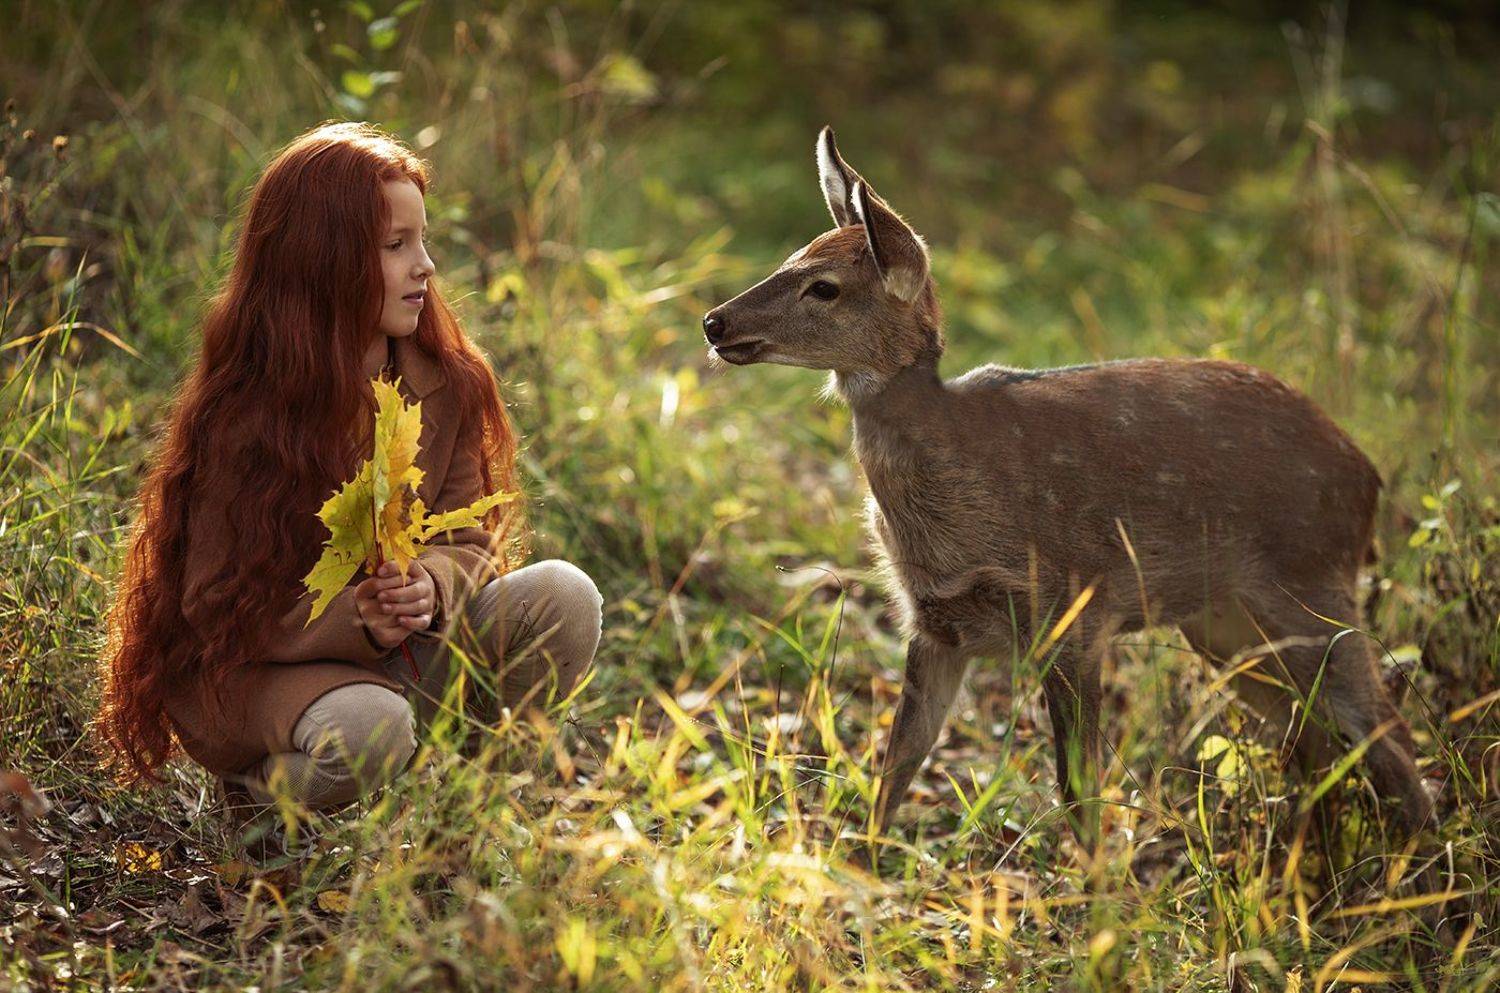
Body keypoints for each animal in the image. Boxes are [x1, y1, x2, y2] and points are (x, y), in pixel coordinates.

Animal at [701, 126, 1435, 852]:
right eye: (790, 258)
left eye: (823, 287)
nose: (715, 322)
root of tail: (1367, 474)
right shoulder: (932, 622)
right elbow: (897, 765)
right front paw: (859, 867)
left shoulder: (1074, 609)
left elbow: (1077, 786)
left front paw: (1096, 887)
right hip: (1224, 620)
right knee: (1312, 735)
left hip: (1311, 585)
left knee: (1386, 730)